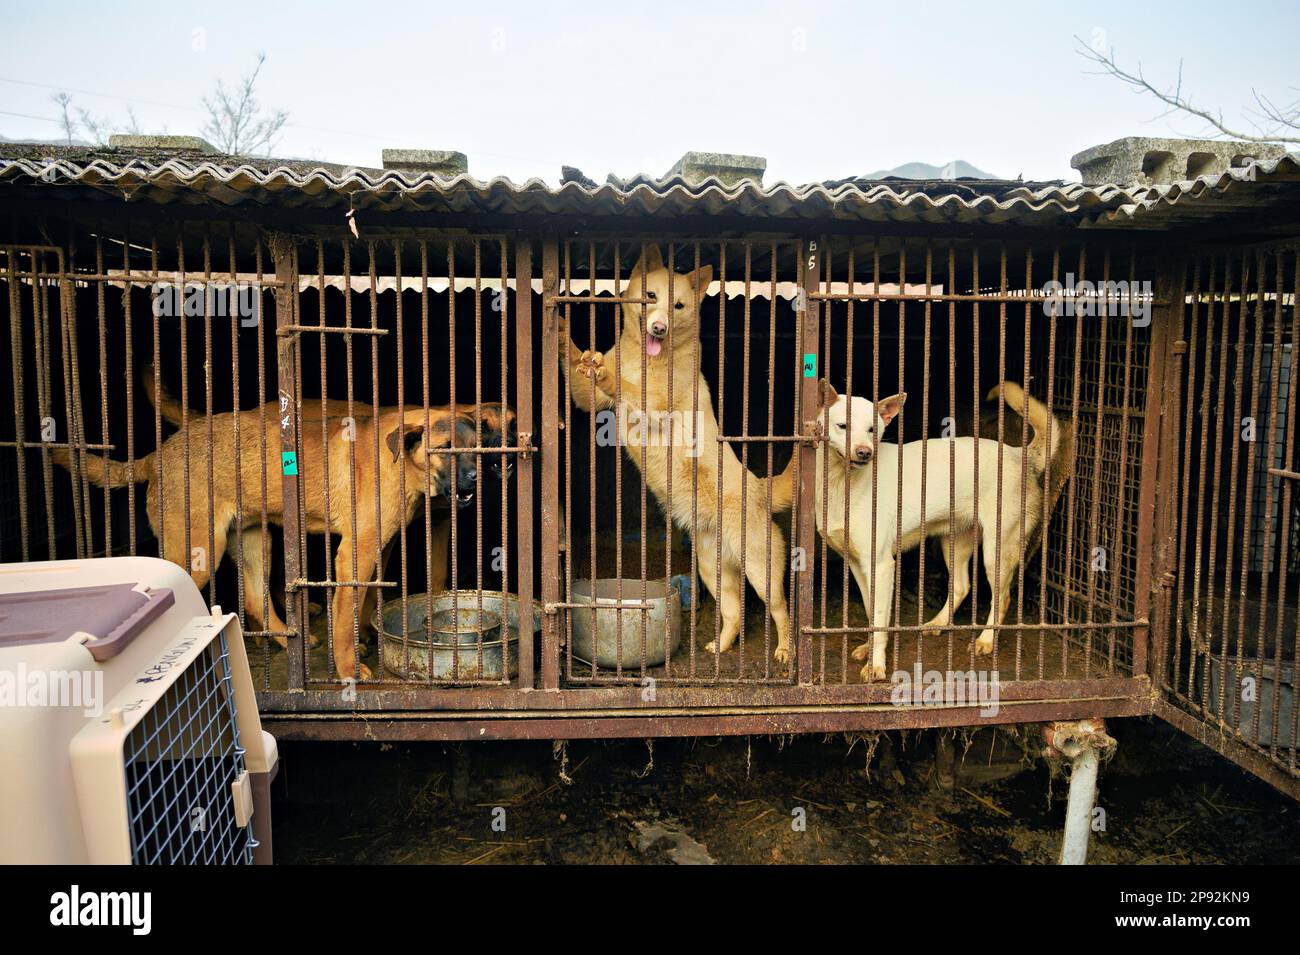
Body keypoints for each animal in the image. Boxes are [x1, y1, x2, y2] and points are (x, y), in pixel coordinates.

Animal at [53, 369, 486, 675]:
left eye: (478, 447)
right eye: (445, 449)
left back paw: (285, 637)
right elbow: (344, 614)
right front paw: (349, 669)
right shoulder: (353, 555)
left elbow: (361, 603)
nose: (477, 477)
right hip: (199, 551)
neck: (399, 461)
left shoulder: (377, 547)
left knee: (253, 600)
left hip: (254, 542)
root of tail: (156, 456)